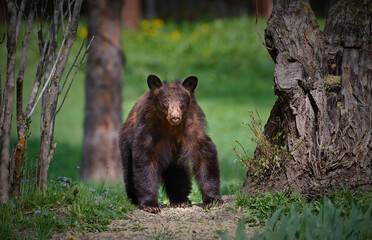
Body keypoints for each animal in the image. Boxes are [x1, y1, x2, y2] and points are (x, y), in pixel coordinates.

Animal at [119, 74, 222, 213]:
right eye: (165, 101)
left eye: (181, 101)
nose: (175, 117)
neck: (171, 128)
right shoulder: (148, 132)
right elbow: (145, 161)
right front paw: (150, 205)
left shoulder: (192, 128)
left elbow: (205, 155)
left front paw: (212, 200)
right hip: (126, 141)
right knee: (129, 172)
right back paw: (134, 199)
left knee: (178, 172)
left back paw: (180, 200)